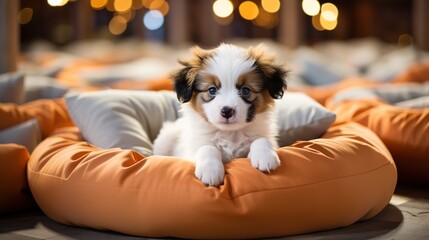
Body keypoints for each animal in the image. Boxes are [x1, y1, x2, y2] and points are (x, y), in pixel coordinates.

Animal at [154, 43, 288, 187]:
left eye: (245, 90)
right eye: (212, 90)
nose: (227, 111)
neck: (230, 134)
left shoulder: (265, 137)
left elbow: (261, 140)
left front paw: (265, 156)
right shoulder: (191, 150)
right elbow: (207, 147)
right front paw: (210, 170)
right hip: (165, 139)